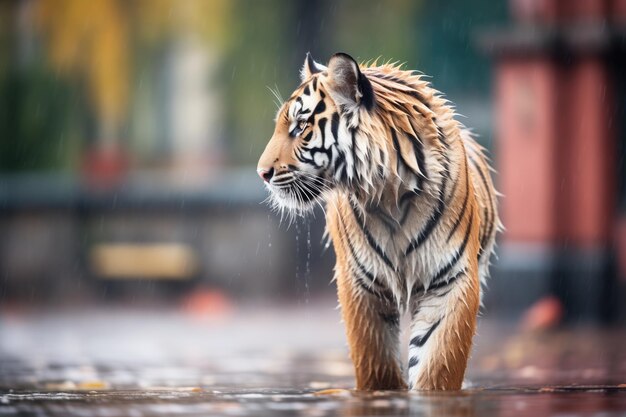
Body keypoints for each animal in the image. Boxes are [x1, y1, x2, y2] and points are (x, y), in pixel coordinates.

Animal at [256, 52, 500, 390]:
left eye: (301, 126)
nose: (261, 173)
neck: (389, 195)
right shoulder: (362, 285)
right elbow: (376, 364)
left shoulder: (450, 280)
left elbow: (436, 366)